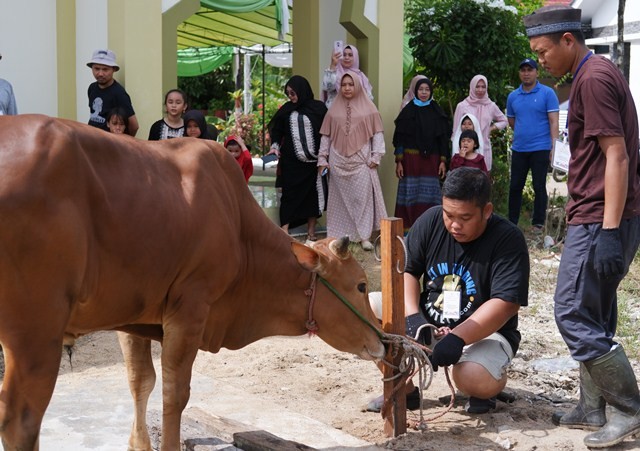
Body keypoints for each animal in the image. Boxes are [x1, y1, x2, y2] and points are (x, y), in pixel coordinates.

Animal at [0, 116, 384, 451]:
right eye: (361, 285)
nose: (381, 340)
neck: (238, 226)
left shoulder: (132, 318)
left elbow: (140, 382)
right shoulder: (190, 309)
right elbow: (175, 392)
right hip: (36, 333)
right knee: (21, 421)